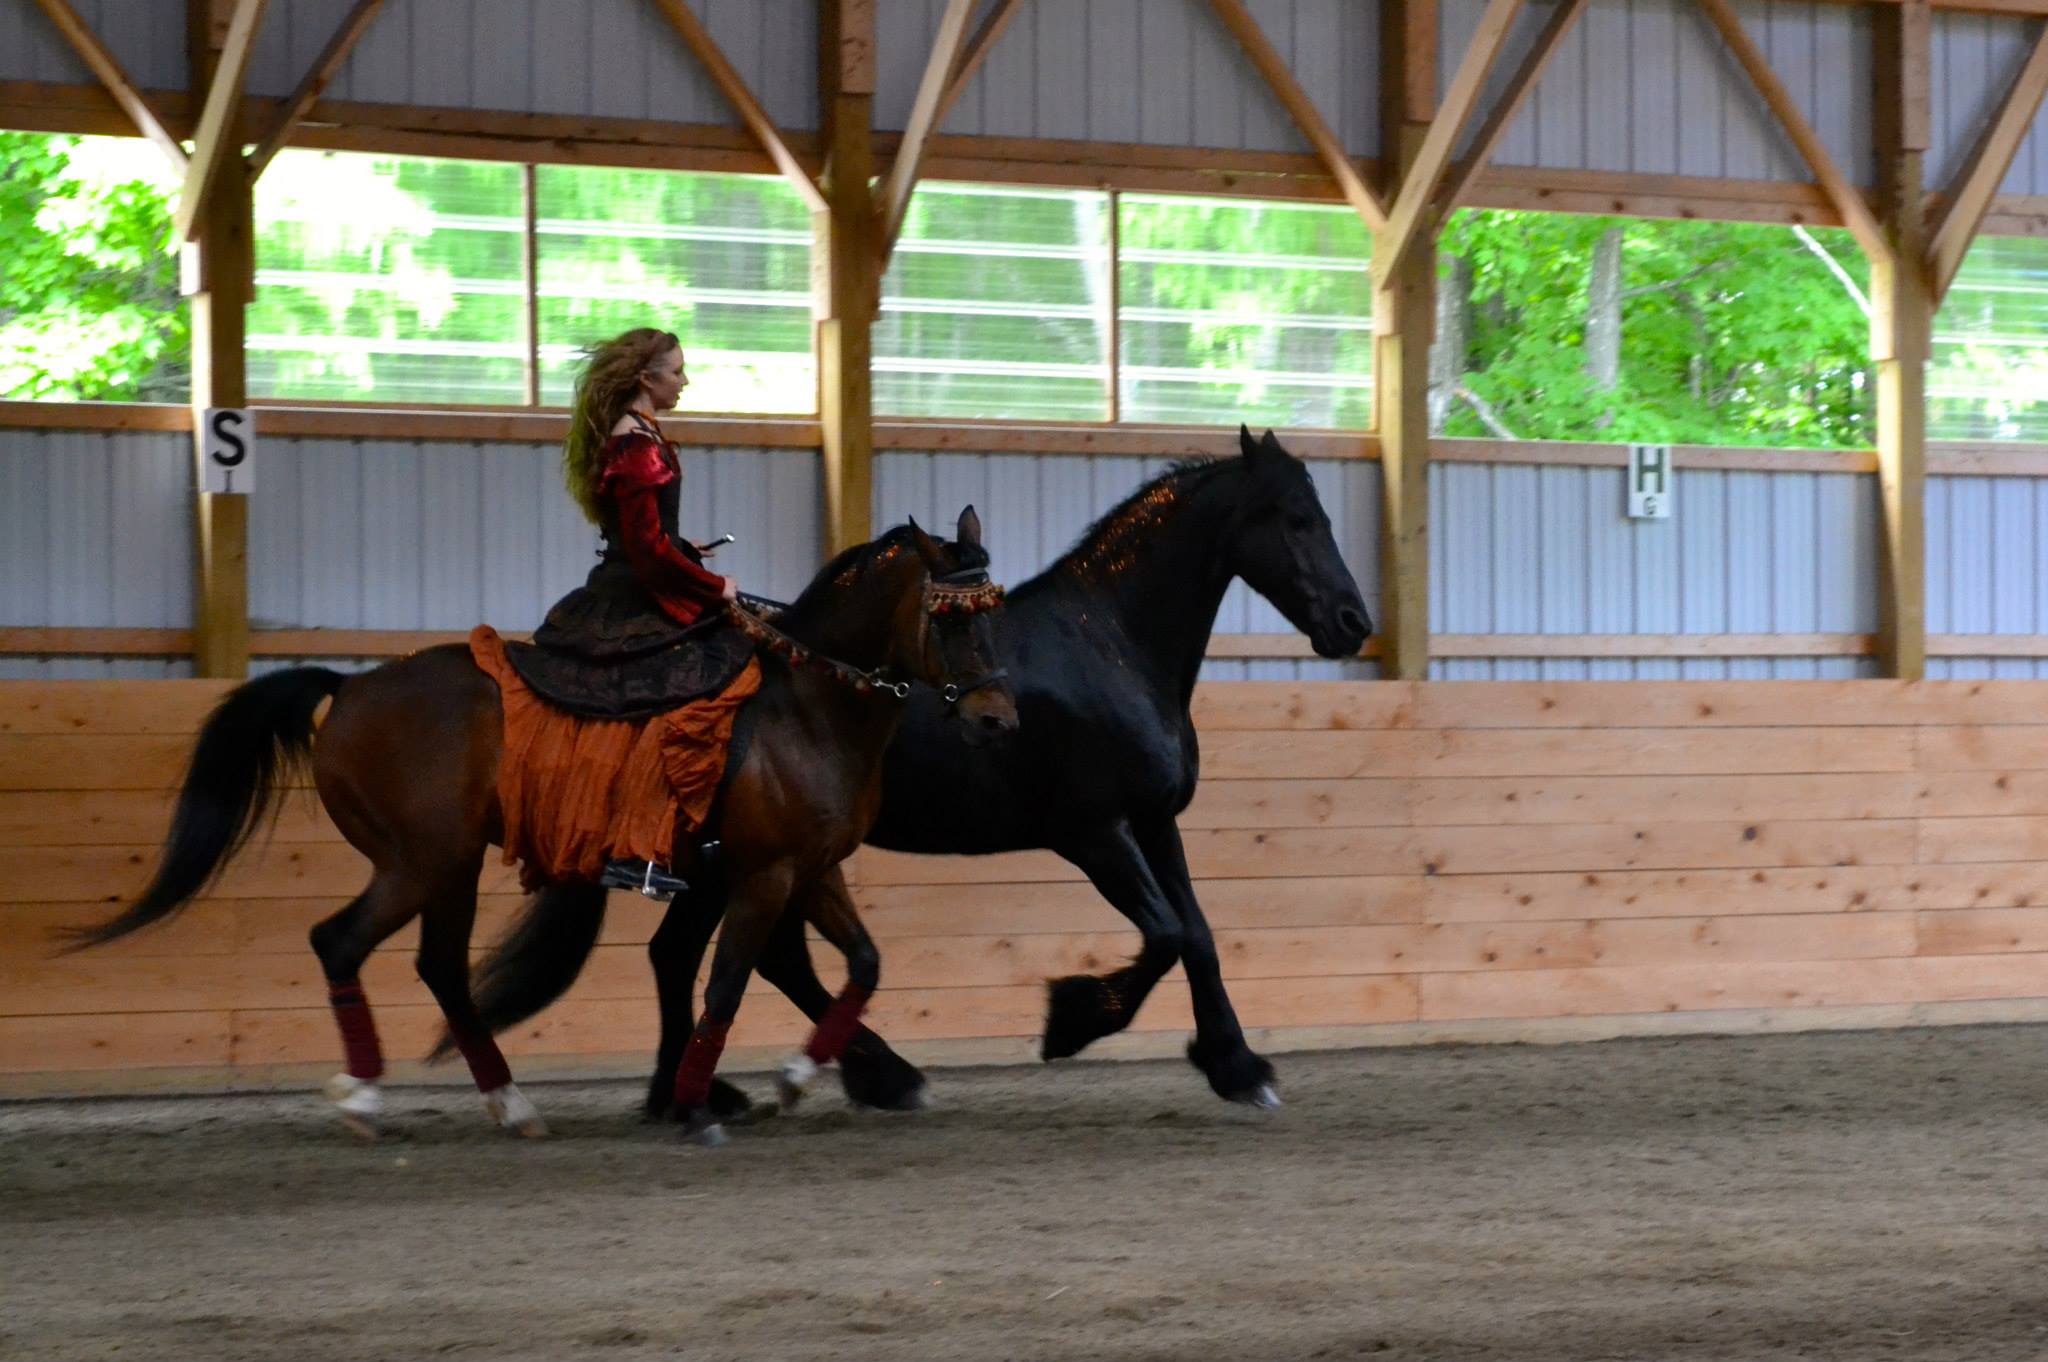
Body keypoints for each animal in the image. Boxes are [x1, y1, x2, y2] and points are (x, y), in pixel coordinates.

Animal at [70, 503, 1015, 1138]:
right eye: (946, 617)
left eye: (995, 614)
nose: (999, 720)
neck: (807, 705)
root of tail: (352, 685)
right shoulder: (764, 875)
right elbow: (728, 984)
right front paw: (704, 1103)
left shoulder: (810, 868)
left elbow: (862, 963)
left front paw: (795, 1076)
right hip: (423, 863)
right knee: (345, 944)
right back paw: (373, 1095)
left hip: (442, 870)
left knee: (439, 968)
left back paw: (508, 1100)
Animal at [468, 430, 1368, 1114]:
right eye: (1295, 518)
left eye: (1324, 514)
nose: (1353, 621)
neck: (1105, 642)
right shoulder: (1094, 832)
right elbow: (1166, 935)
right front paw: (1071, 1020)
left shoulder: (1153, 822)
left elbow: (1200, 936)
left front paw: (1237, 1066)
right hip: (753, 859)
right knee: (734, 957)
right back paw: (841, 1079)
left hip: (744, 860)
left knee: (705, 956)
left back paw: (720, 1089)